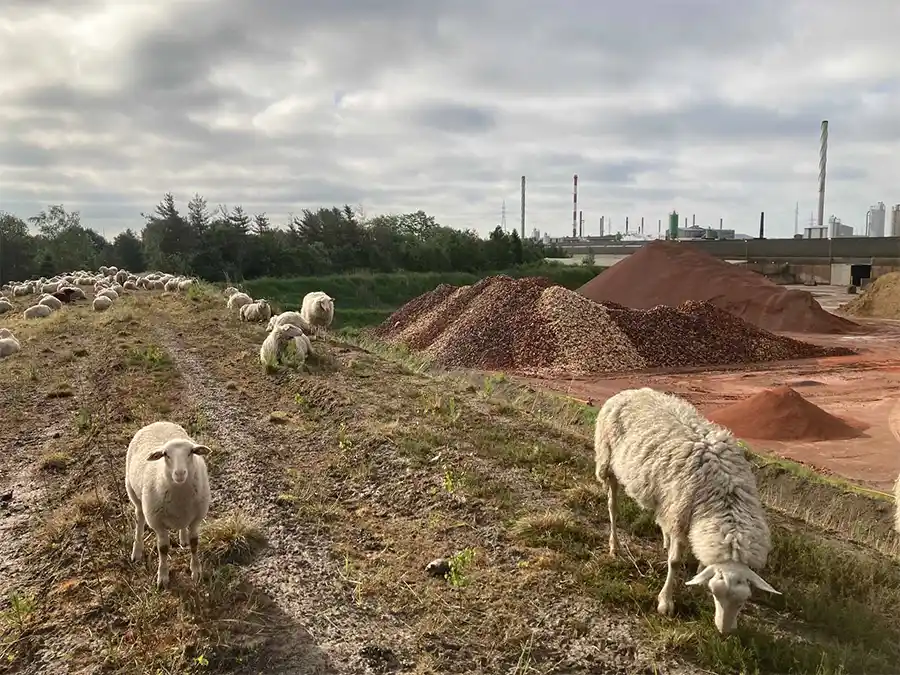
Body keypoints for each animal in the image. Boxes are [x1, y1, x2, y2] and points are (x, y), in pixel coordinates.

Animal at [125, 420, 212, 588]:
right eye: (166, 454)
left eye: (191, 452)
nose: (179, 473)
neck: (180, 496)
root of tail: (158, 422)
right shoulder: (157, 523)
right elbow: (163, 549)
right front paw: (163, 577)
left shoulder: (196, 518)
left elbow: (194, 544)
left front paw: (196, 571)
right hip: (133, 494)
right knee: (139, 520)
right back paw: (137, 551)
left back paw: (183, 539)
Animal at [592, 388, 780, 636]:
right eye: (716, 594)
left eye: (743, 600)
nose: (724, 632)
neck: (724, 495)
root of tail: (629, 391)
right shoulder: (681, 517)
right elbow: (674, 562)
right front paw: (666, 602)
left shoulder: (684, 514)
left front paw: (697, 580)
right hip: (608, 461)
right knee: (612, 507)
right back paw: (615, 546)